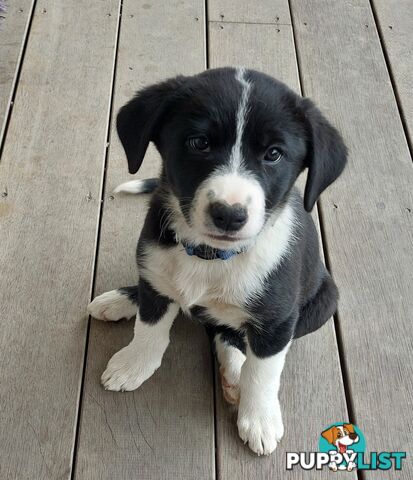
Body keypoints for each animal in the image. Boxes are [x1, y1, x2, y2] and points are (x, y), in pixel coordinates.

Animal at [88, 66, 346, 454]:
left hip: (324, 301)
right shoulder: (155, 266)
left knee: (231, 335)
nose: (229, 214)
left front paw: (260, 419)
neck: (211, 256)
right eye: (199, 143)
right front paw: (134, 364)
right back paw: (120, 300)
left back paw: (234, 371)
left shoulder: (277, 321)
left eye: (274, 154)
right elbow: (150, 327)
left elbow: (263, 371)